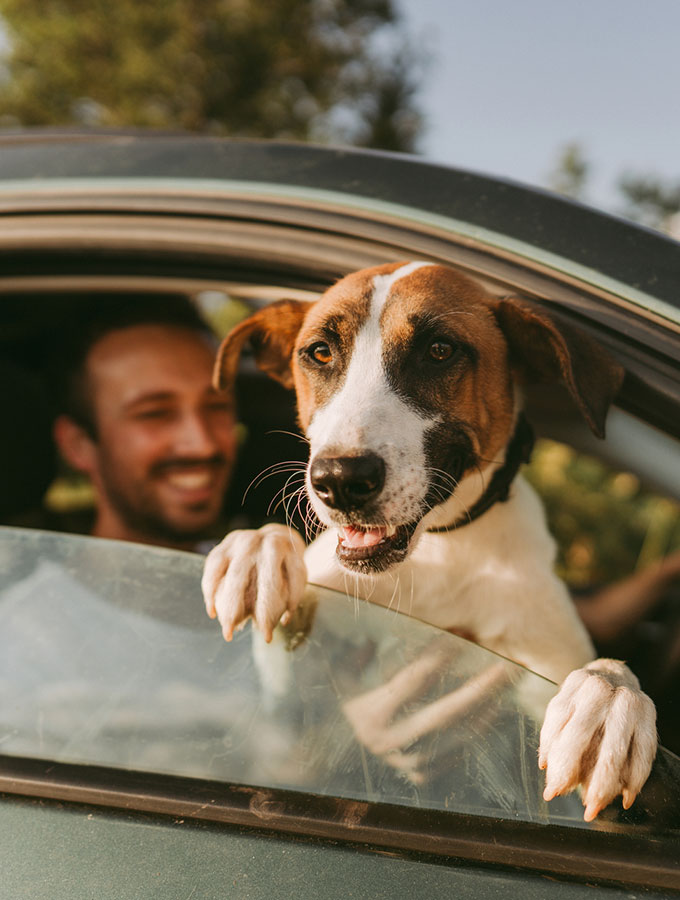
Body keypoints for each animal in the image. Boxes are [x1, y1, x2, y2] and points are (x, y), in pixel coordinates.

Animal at [199, 262, 656, 824]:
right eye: (320, 352)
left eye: (439, 350)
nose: (340, 480)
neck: (438, 551)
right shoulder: (291, 707)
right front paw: (257, 552)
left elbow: (596, 670)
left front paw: (609, 700)